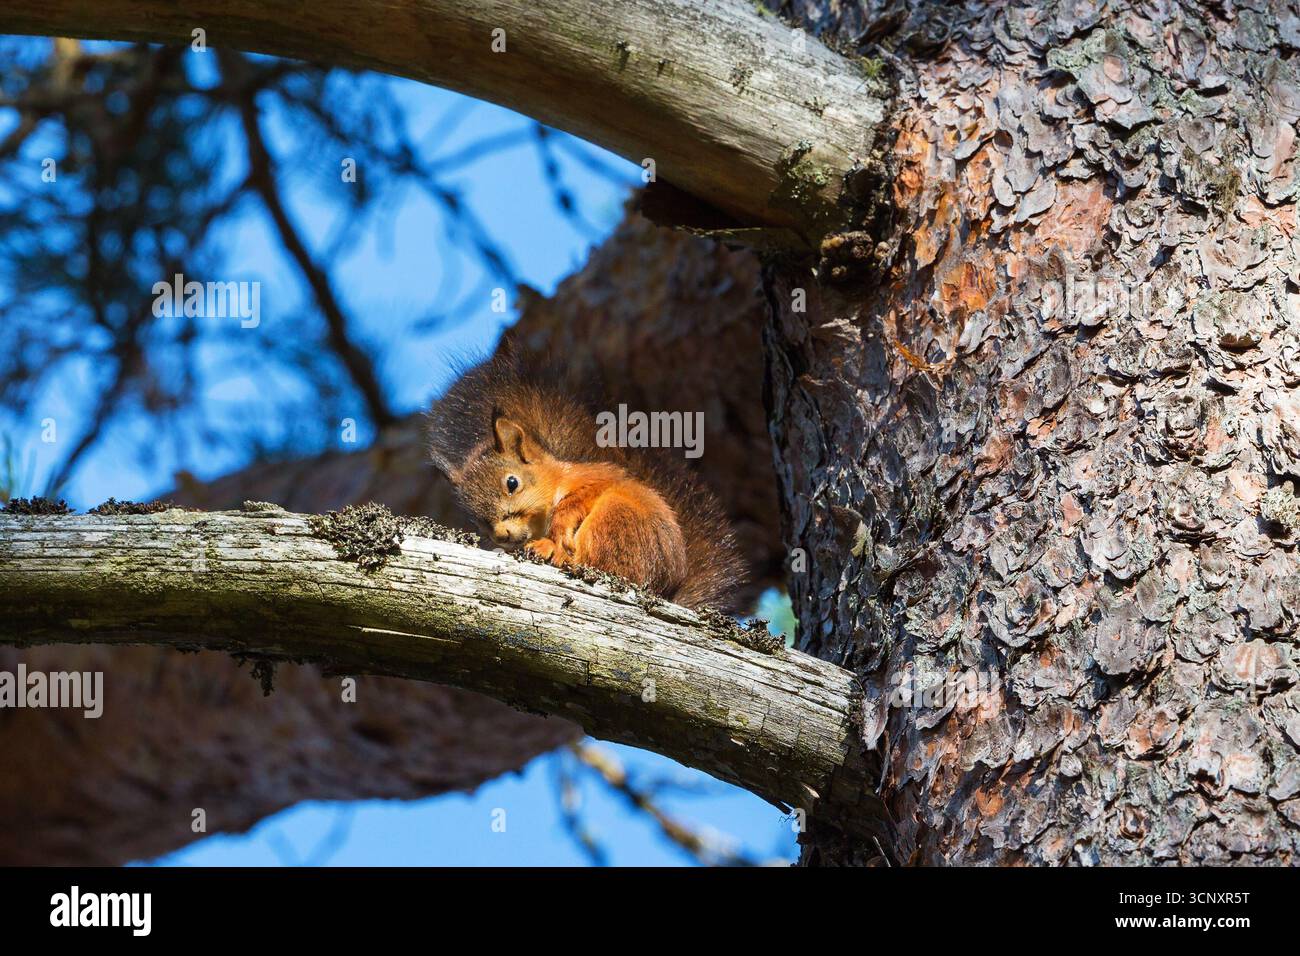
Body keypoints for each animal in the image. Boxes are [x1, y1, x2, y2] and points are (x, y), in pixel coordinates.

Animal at [427, 351, 745, 610]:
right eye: (475, 519)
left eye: (512, 483)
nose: (501, 536)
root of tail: (662, 589)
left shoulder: (594, 479)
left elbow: (575, 502)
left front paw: (558, 528)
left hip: (615, 517)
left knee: (597, 564)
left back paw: (557, 552)